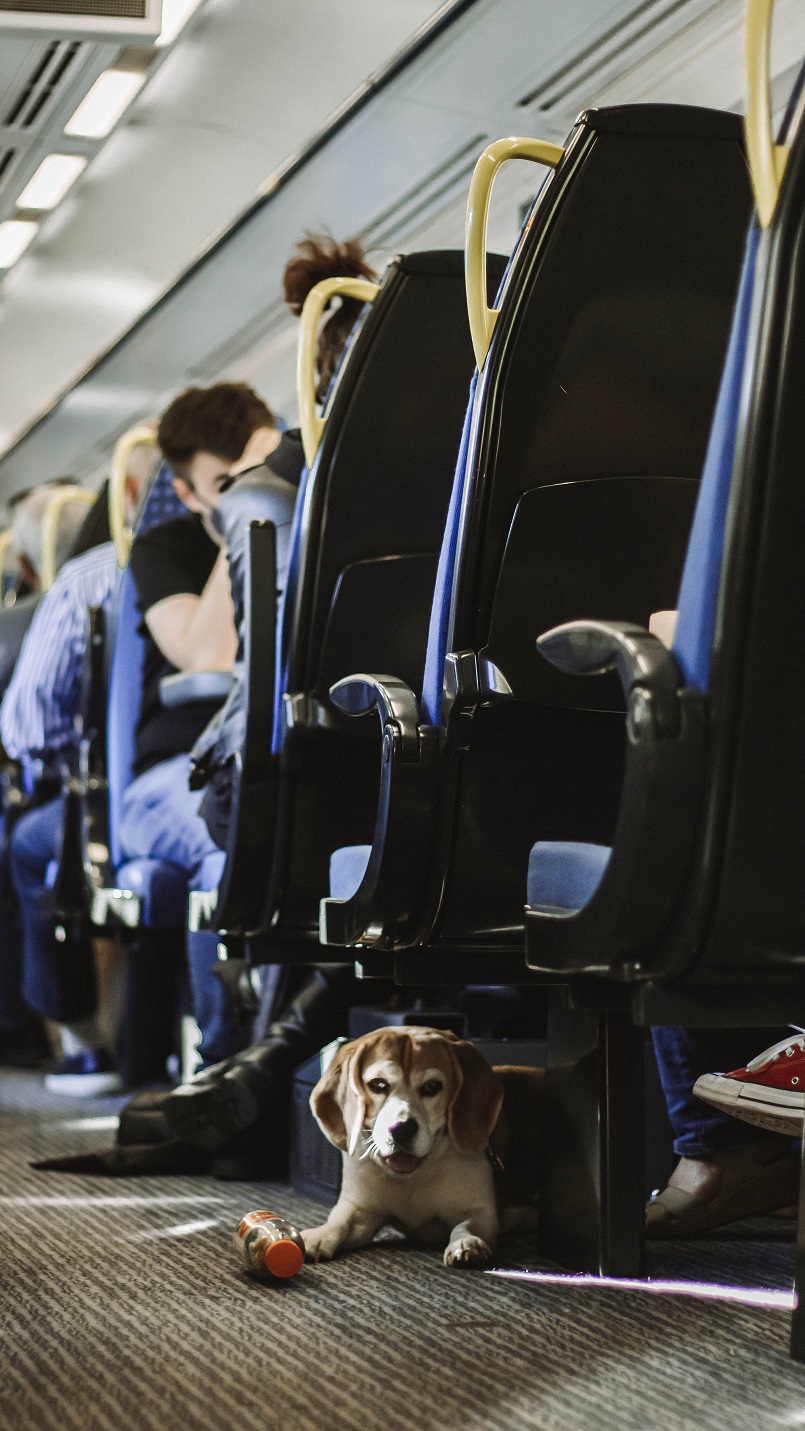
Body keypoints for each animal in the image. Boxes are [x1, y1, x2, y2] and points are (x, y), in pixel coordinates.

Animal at [303, 1030, 540, 1265]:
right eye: (378, 1084)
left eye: (432, 1086)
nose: (401, 1129)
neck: (413, 1178)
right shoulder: (358, 1210)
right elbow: (339, 1223)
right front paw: (318, 1236)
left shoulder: (481, 1212)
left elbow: (466, 1226)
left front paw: (466, 1244)